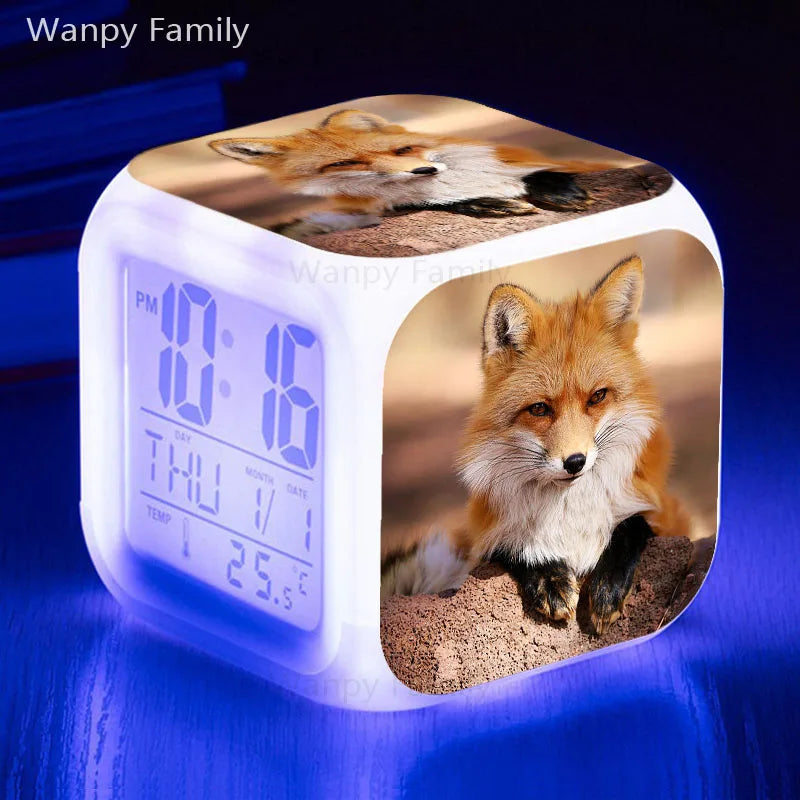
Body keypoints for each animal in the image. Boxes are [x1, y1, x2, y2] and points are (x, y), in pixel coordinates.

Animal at [208, 108, 615, 238]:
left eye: (402, 150)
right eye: (345, 164)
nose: (424, 169)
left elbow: (543, 172)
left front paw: (558, 190)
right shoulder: (382, 208)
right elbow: (437, 204)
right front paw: (490, 204)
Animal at [381, 255, 690, 634]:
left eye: (597, 397)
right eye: (540, 409)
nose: (575, 462)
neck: (570, 512)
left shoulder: (667, 514)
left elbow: (632, 524)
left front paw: (608, 585)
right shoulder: (484, 536)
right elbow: (511, 545)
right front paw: (548, 578)